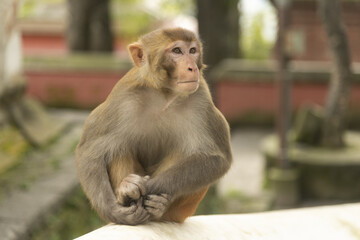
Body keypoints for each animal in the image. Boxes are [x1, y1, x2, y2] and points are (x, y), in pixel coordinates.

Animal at [76, 27, 233, 226]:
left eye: (192, 51)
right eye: (177, 51)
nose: (192, 67)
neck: (164, 94)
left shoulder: (201, 99)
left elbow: (217, 158)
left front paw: (146, 188)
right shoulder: (123, 96)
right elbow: (90, 150)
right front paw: (114, 210)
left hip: (181, 211)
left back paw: (158, 207)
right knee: (118, 147)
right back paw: (127, 192)